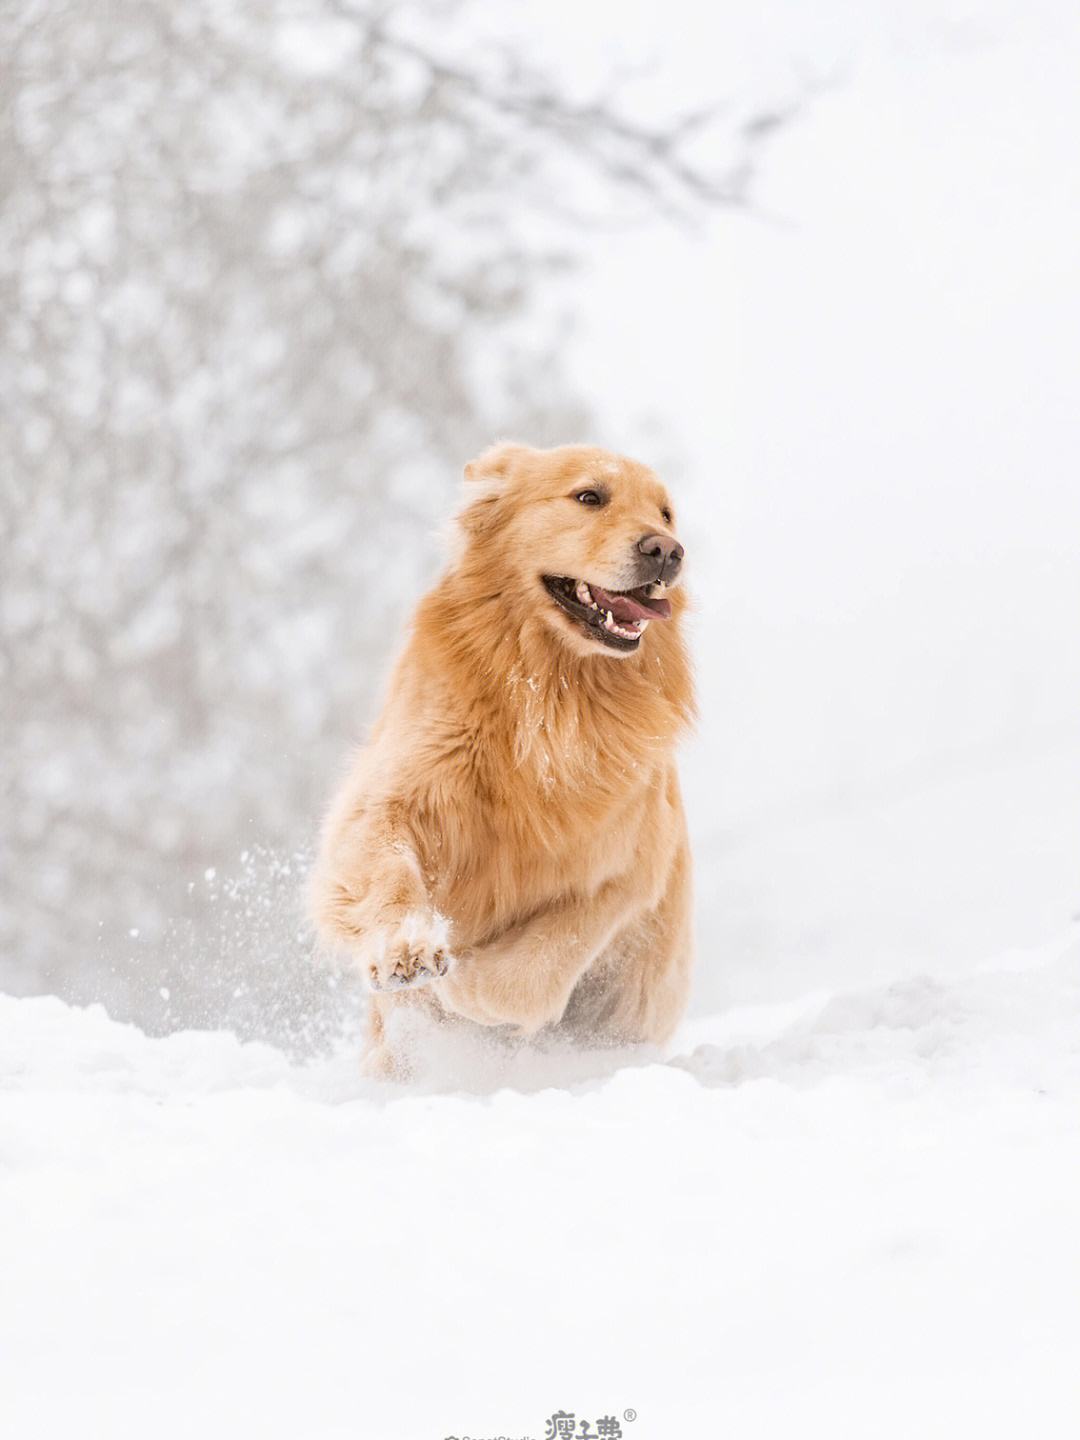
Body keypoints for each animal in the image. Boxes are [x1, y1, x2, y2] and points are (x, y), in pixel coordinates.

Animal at [311, 443, 702, 1077]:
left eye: (666, 514)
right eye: (589, 496)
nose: (667, 550)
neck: (550, 694)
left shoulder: (627, 868)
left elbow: (532, 972)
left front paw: (459, 987)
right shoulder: (391, 797)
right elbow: (388, 871)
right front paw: (407, 950)